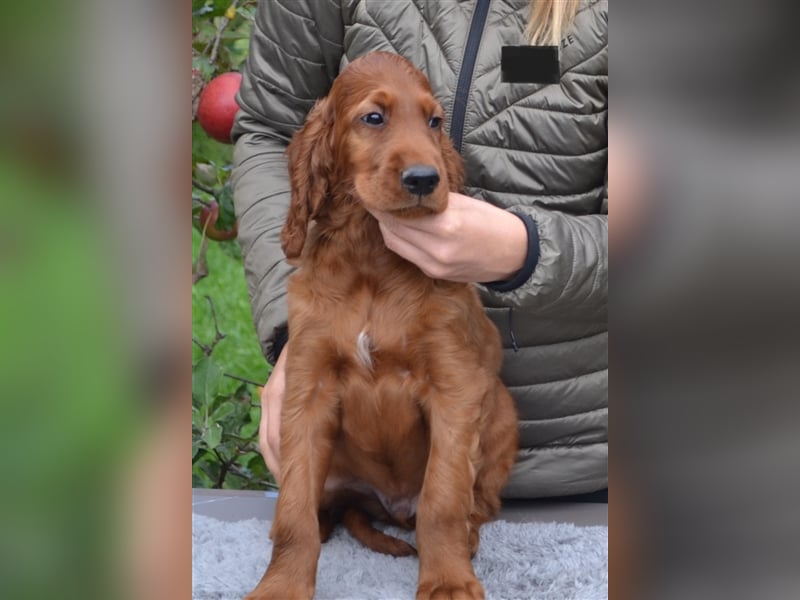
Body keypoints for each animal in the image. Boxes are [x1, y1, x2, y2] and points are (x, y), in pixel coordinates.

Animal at [245, 50, 520, 600]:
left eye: (434, 121)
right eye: (374, 118)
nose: (424, 179)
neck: (371, 255)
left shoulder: (455, 387)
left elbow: (442, 499)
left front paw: (448, 581)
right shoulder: (306, 393)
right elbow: (293, 509)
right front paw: (281, 584)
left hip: (501, 410)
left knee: (476, 503)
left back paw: (468, 536)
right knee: (327, 506)